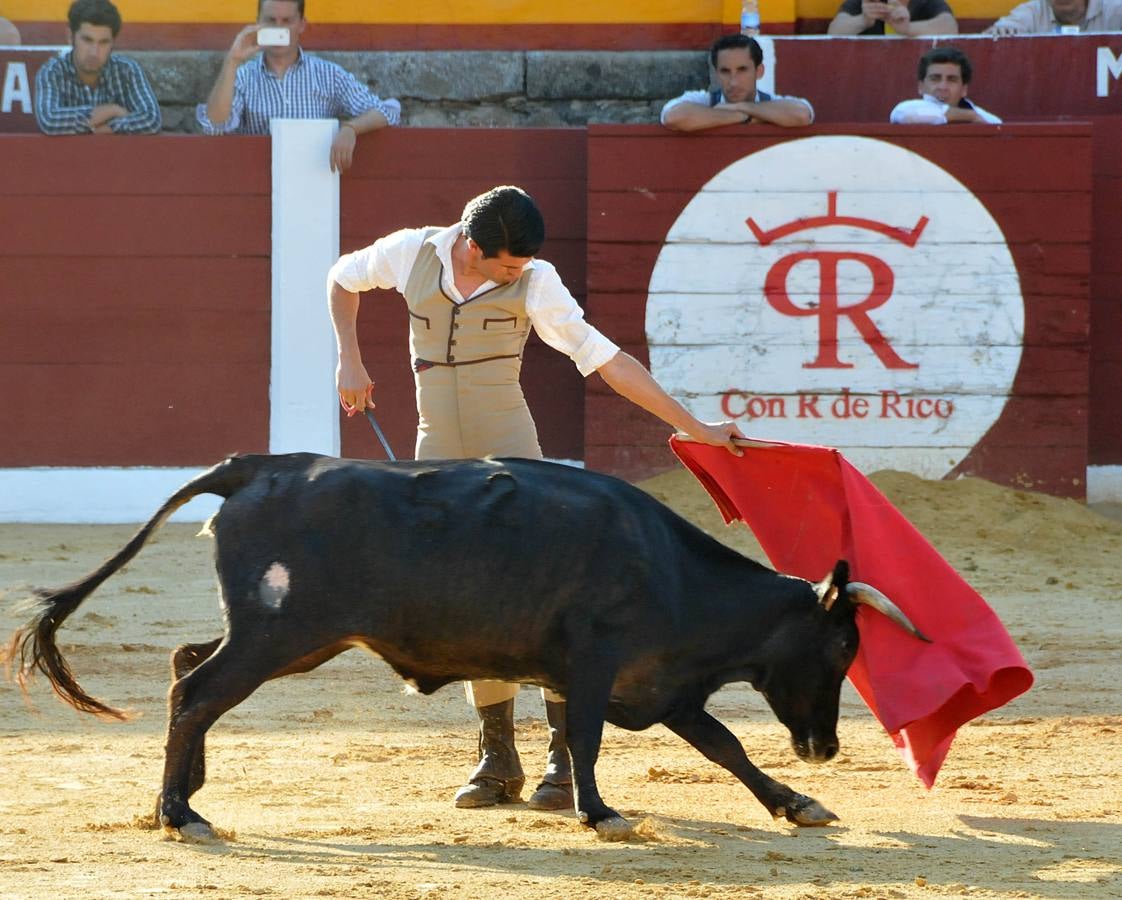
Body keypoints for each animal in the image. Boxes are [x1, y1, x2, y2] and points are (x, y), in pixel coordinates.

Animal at [4, 453, 924, 839]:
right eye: (843, 649)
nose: (826, 748)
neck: (670, 571)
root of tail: (256, 466)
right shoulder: (595, 666)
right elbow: (586, 739)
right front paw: (601, 814)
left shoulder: (661, 687)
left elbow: (725, 745)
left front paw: (797, 805)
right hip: (278, 634)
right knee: (196, 692)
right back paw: (180, 812)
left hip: (294, 639)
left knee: (183, 668)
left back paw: (187, 793)